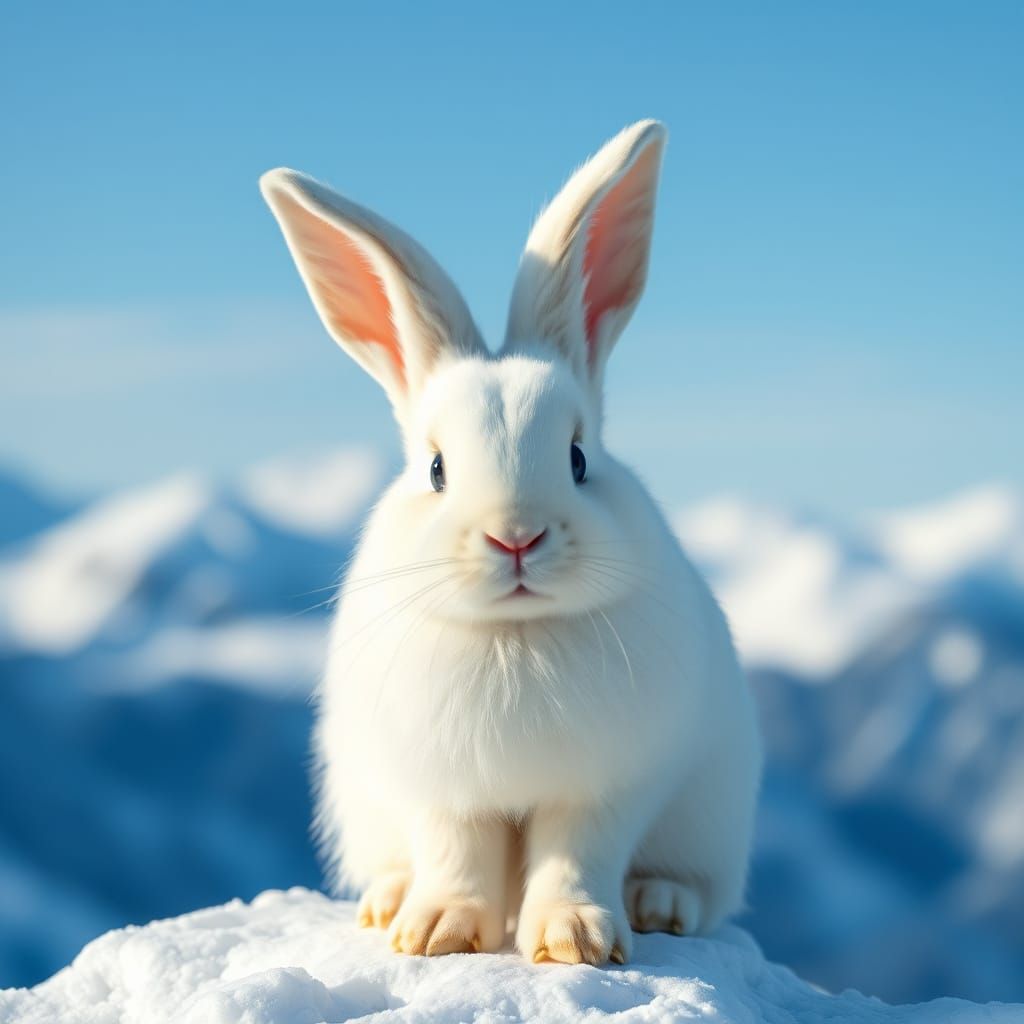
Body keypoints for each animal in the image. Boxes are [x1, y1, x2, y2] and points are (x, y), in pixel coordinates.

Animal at [260, 120, 761, 966]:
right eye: (435, 469)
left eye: (579, 458)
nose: (515, 536)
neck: (514, 635)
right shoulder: (439, 791)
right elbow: (454, 853)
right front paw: (434, 934)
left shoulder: (603, 788)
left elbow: (576, 855)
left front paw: (576, 940)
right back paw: (387, 902)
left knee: (690, 883)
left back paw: (660, 903)